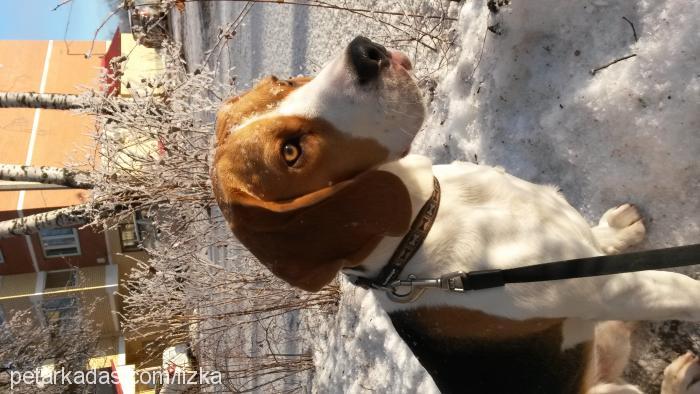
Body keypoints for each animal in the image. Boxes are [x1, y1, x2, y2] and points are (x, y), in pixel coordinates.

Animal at [212, 35, 700, 392]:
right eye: (291, 152)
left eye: (280, 84)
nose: (366, 51)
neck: (425, 220)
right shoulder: (616, 287)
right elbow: (688, 291)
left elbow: (598, 241)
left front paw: (615, 230)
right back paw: (680, 376)